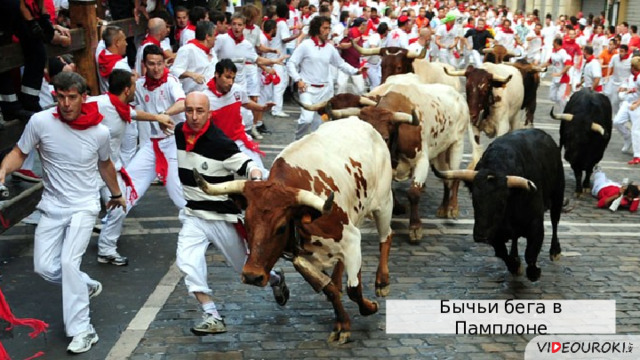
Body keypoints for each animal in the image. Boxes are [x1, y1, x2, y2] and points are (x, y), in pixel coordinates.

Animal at [194, 118, 396, 344]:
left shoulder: (351, 238)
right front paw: (342, 324)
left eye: (281, 227)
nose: (252, 276)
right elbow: (330, 289)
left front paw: (369, 307)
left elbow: (355, 289)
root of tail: (360, 121)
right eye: (246, 223)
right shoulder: (302, 256)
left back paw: (382, 280)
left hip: (384, 203)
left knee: (386, 237)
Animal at [432, 128, 564, 282]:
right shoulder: (494, 233)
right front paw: (515, 266)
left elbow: (531, 253)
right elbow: (502, 252)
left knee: (555, 222)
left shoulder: (535, 223)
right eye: (474, 200)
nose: (480, 236)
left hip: (558, 197)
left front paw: (533, 272)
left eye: (501, 202)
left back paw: (555, 251)